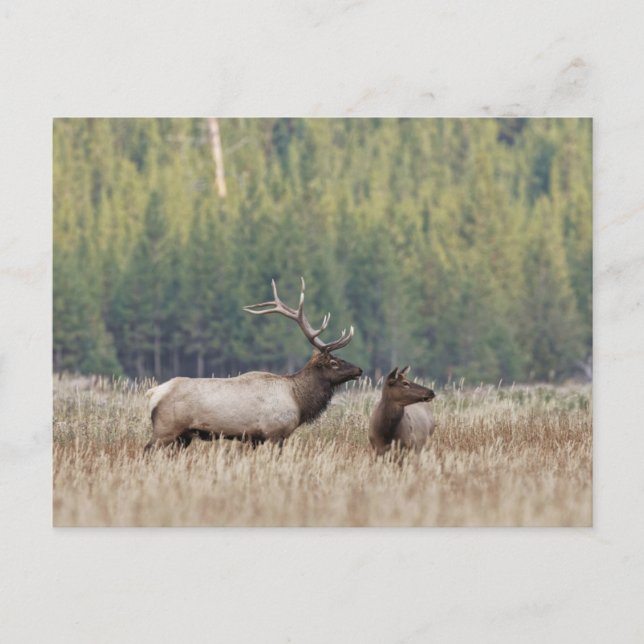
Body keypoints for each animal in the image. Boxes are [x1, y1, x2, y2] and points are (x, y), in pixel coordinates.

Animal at [144, 278, 362, 451]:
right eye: (334, 362)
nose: (359, 369)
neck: (298, 400)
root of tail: (153, 393)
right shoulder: (275, 433)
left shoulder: (253, 438)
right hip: (166, 429)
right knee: (147, 449)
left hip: (183, 436)